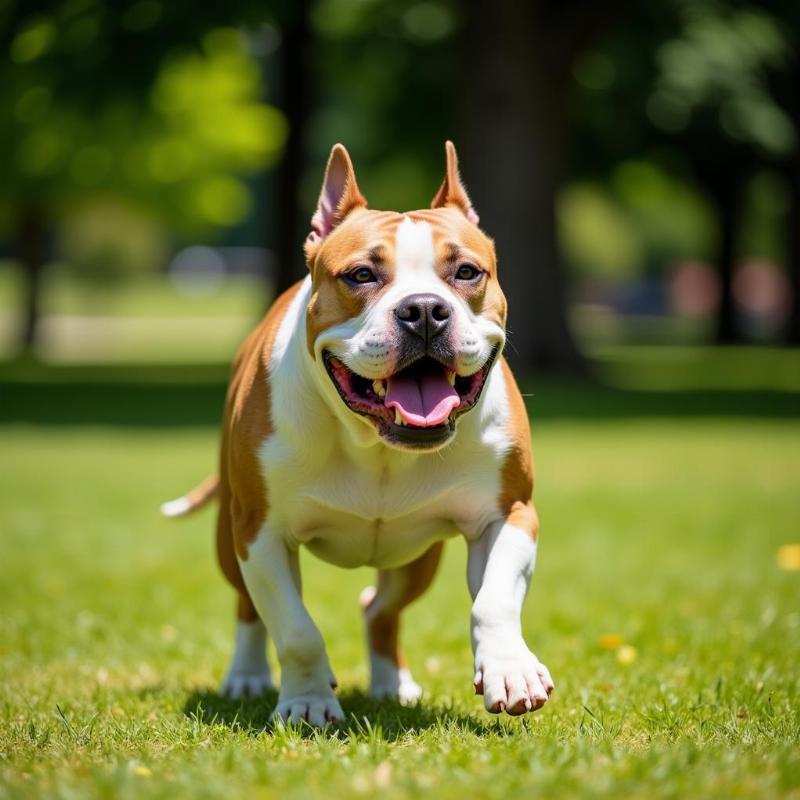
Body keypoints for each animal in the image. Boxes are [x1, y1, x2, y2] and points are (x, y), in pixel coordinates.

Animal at [162, 142, 552, 724]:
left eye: (466, 271)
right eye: (361, 275)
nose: (424, 310)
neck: (376, 446)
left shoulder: (509, 515)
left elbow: (494, 599)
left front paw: (510, 669)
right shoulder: (261, 532)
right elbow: (296, 628)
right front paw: (306, 700)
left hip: (415, 559)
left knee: (379, 608)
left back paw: (394, 685)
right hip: (230, 540)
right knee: (248, 606)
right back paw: (247, 676)